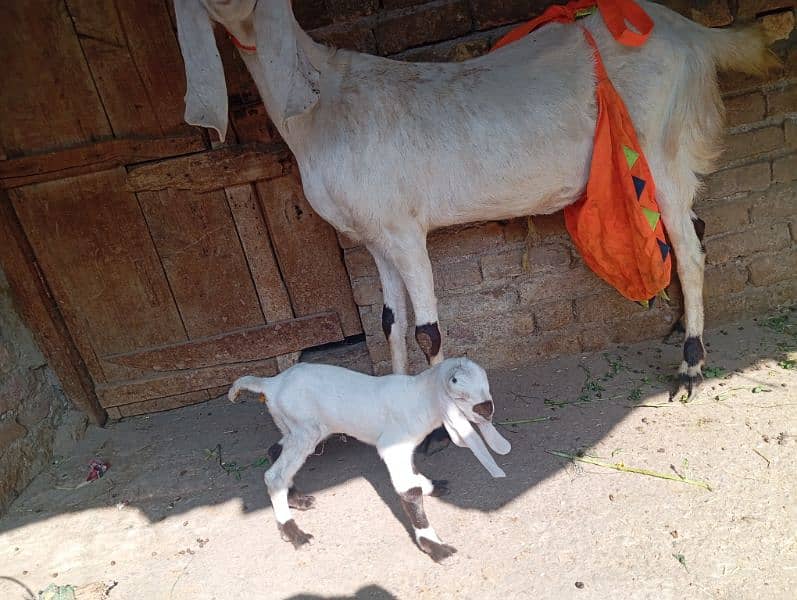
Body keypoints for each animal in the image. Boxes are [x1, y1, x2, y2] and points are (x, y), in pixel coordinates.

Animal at [173, 0, 772, 394]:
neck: (321, 102)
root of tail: (688, 31)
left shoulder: (403, 228)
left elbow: (427, 331)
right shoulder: (373, 236)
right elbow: (389, 323)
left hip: (660, 146)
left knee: (690, 251)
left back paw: (690, 366)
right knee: (694, 229)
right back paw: (679, 325)